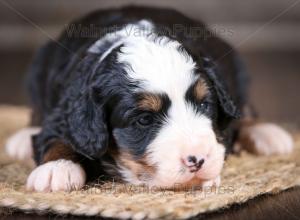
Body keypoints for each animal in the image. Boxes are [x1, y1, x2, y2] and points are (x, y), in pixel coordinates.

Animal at [5, 6, 294, 192]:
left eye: (204, 105)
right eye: (144, 120)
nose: (197, 160)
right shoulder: (65, 111)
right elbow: (56, 136)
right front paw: (57, 169)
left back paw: (268, 134)